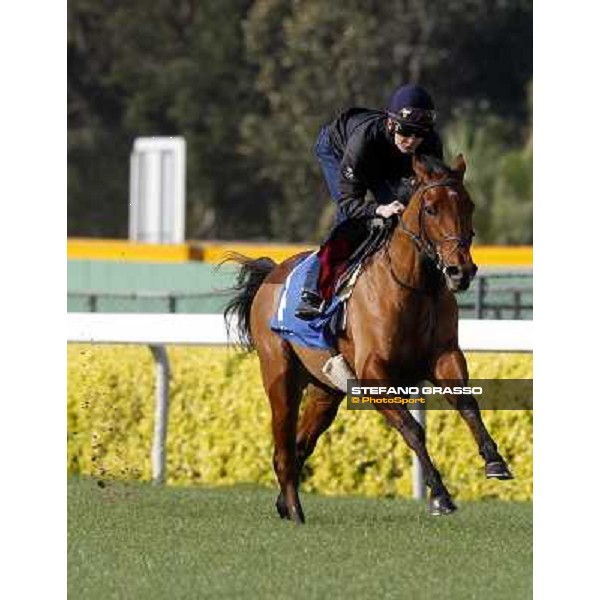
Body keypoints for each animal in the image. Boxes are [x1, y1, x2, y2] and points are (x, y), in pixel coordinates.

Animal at [224, 155, 510, 524]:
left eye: (469, 205)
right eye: (431, 208)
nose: (460, 271)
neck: (412, 286)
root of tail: (271, 273)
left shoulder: (445, 357)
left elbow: (468, 404)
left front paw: (495, 461)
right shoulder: (373, 374)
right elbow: (413, 430)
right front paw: (440, 495)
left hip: (325, 389)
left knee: (301, 443)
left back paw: (285, 505)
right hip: (279, 375)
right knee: (284, 448)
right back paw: (296, 510)